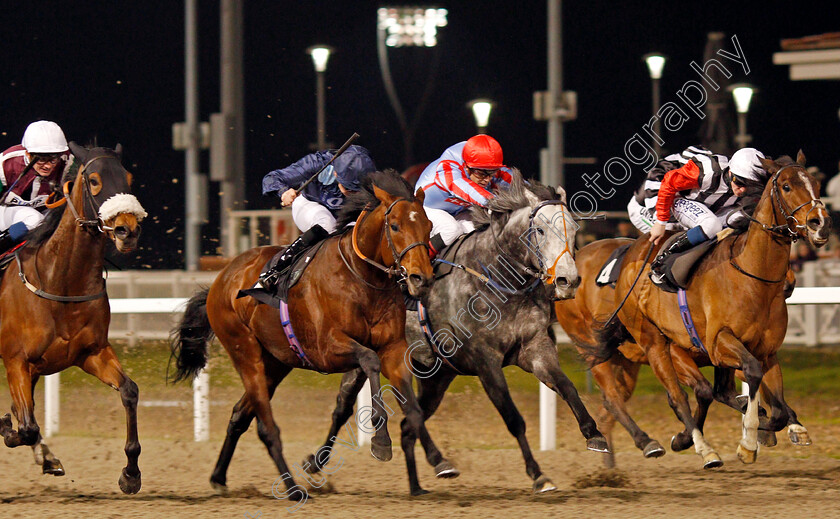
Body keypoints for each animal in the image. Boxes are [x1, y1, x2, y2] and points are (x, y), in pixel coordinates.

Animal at [304, 170, 612, 496]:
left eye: (575, 228)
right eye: (540, 230)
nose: (568, 281)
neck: (497, 278)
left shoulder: (535, 348)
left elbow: (567, 387)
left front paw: (594, 434)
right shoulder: (485, 360)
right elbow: (513, 418)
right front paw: (538, 475)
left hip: (436, 376)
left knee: (408, 426)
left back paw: (417, 485)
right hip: (365, 355)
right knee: (342, 408)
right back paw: (316, 463)